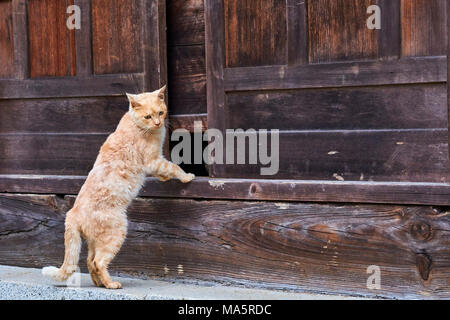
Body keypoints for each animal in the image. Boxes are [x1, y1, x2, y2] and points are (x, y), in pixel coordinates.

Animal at [42, 86, 195, 288]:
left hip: (95, 241)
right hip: (116, 233)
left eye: (161, 113)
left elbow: (165, 172)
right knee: (99, 261)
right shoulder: (154, 161)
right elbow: (174, 168)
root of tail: (72, 213)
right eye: (148, 116)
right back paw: (111, 284)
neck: (137, 125)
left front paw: (165, 179)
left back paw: (99, 284)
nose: (157, 123)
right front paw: (187, 176)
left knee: (90, 261)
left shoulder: (156, 162)